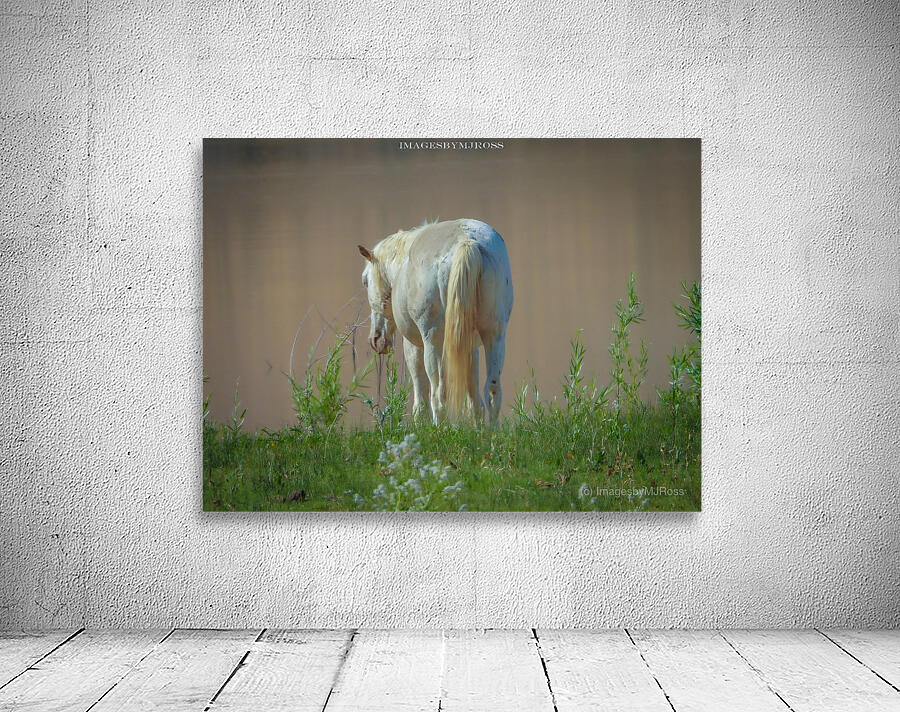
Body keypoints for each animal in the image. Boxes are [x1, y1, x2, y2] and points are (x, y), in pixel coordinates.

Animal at [358, 219, 513, 425]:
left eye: (365, 281)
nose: (376, 340)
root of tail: (466, 241)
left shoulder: (414, 345)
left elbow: (421, 396)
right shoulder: (470, 346)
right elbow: (473, 397)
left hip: (432, 343)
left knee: (439, 394)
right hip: (494, 335)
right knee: (492, 390)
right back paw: (491, 431)